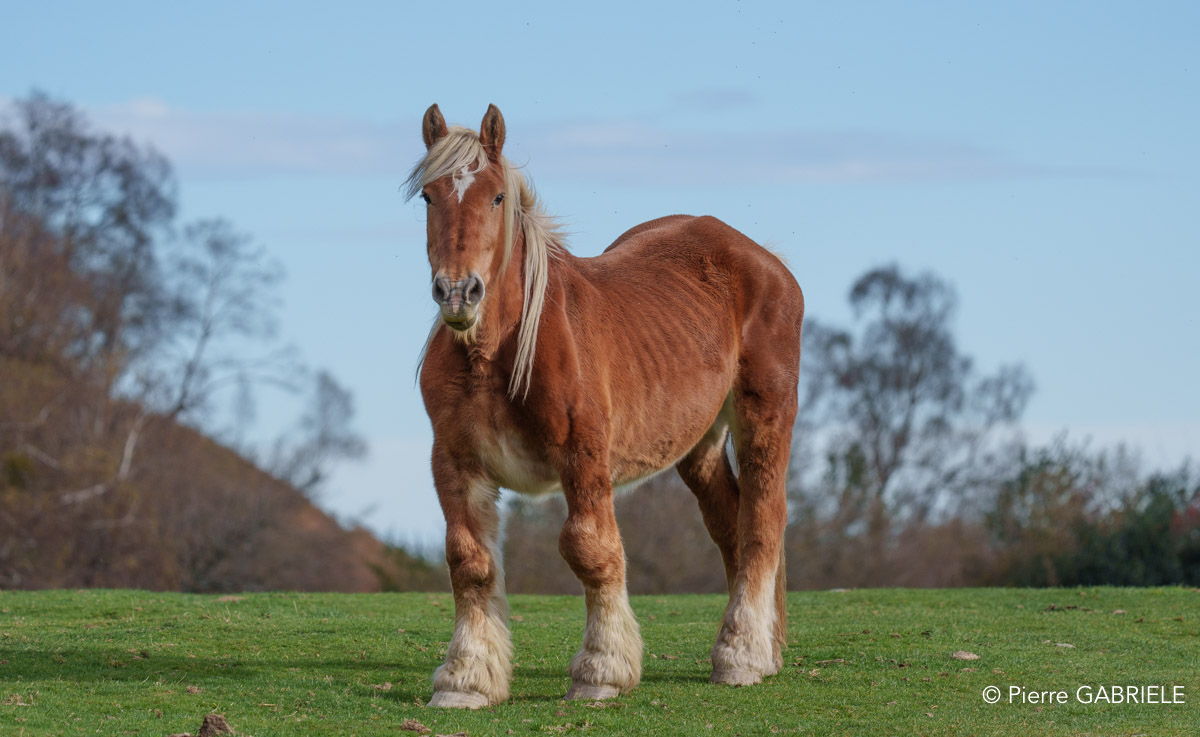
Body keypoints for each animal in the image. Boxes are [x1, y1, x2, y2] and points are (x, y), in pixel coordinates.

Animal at [406, 104, 804, 708]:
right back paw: (762, 649)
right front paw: (465, 679)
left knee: (763, 520)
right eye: (429, 197)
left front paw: (601, 670)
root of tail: (766, 260)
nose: (458, 293)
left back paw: (741, 657)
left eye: (496, 197)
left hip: (765, 414)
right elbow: (468, 561)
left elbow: (590, 549)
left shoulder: (583, 455)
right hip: (700, 444)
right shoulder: (455, 462)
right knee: (730, 523)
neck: (496, 354)